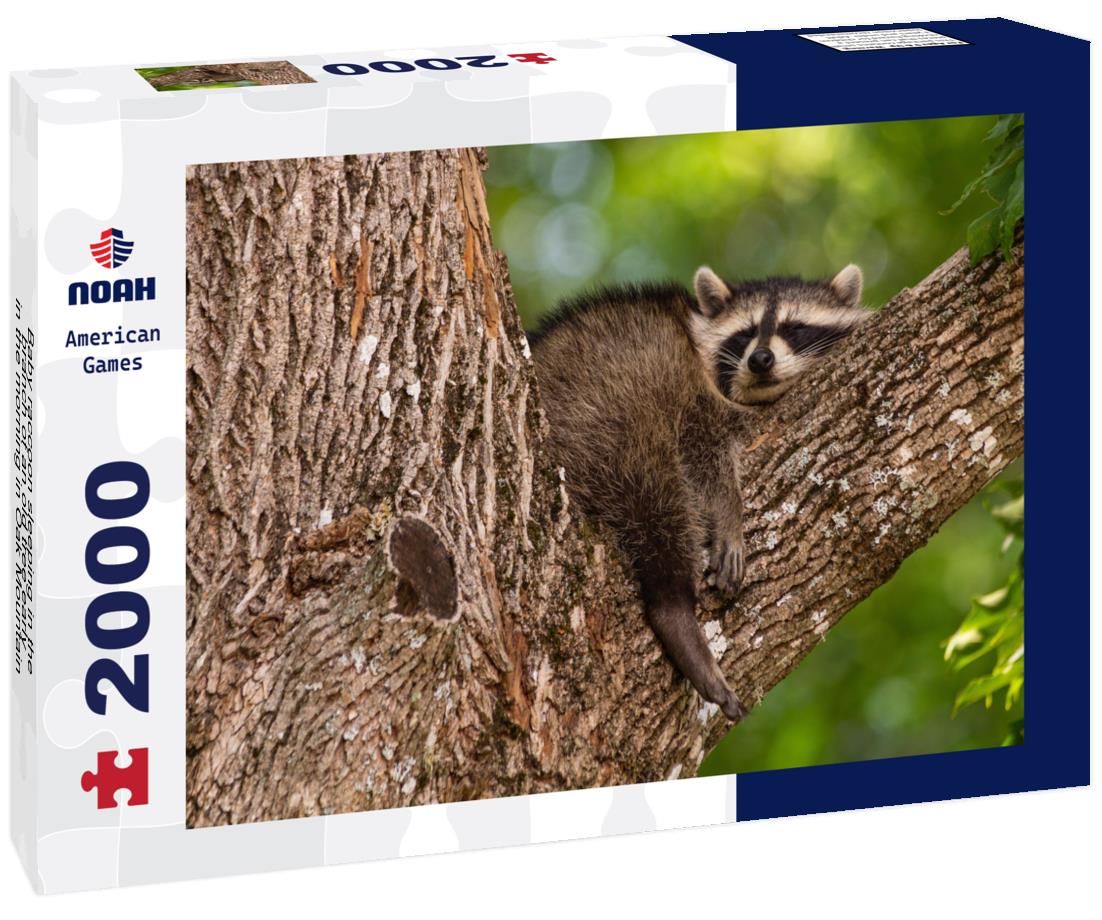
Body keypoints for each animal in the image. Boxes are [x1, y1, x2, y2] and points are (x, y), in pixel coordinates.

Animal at [529, 264, 870, 721]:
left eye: (794, 327)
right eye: (745, 334)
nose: (761, 359)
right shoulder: (689, 388)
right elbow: (702, 452)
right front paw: (730, 513)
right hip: (599, 409)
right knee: (653, 491)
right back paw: (672, 603)